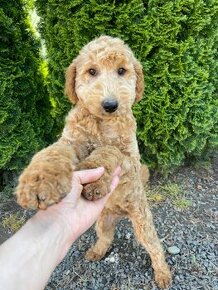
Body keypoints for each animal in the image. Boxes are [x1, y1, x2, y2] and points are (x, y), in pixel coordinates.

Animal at [15, 35, 172, 288]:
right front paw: (39, 181)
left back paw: (163, 274)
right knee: (106, 238)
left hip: (142, 222)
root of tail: (120, 212)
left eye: (121, 70)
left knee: (154, 247)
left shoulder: (129, 157)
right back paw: (97, 251)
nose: (110, 105)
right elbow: (53, 152)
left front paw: (95, 178)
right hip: (102, 221)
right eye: (91, 71)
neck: (101, 122)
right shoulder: (72, 140)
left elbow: (108, 150)